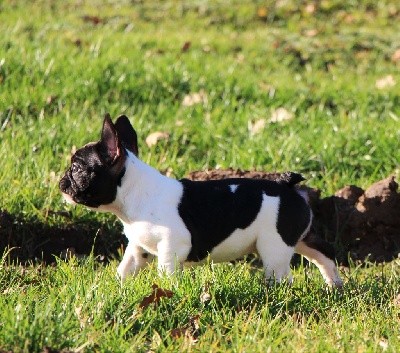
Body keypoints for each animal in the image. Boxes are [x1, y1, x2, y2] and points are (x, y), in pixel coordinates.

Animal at [59, 114, 344, 288]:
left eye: (77, 168)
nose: (62, 181)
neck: (135, 194)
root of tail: (286, 185)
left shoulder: (171, 247)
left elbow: (166, 272)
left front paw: (167, 291)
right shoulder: (139, 247)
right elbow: (126, 267)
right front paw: (117, 285)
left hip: (275, 246)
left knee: (281, 274)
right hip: (301, 237)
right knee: (325, 254)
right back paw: (334, 286)